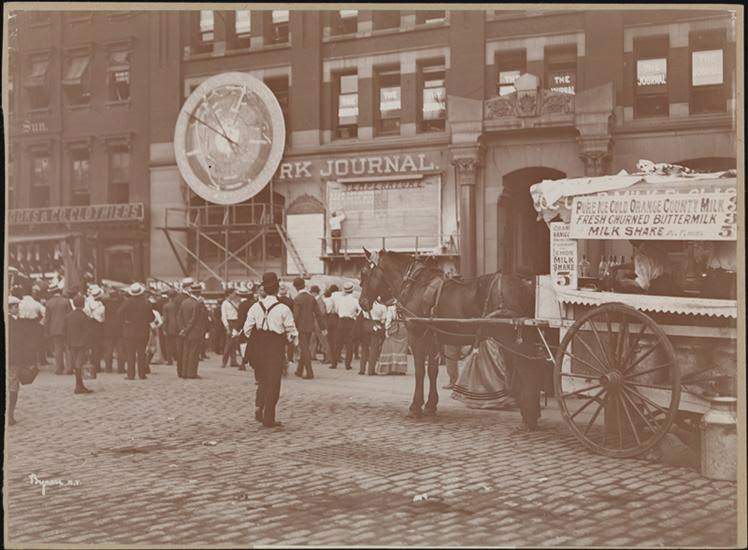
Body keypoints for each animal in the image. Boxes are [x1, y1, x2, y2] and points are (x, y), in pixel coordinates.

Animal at [358, 250, 540, 426]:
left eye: (364, 273)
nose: (362, 303)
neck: (415, 285)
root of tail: (525, 285)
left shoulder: (417, 336)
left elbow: (420, 371)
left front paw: (415, 407)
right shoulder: (432, 339)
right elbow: (432, 371)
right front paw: (431, 405)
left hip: (511, 339)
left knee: (527, 368)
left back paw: (529, 415)